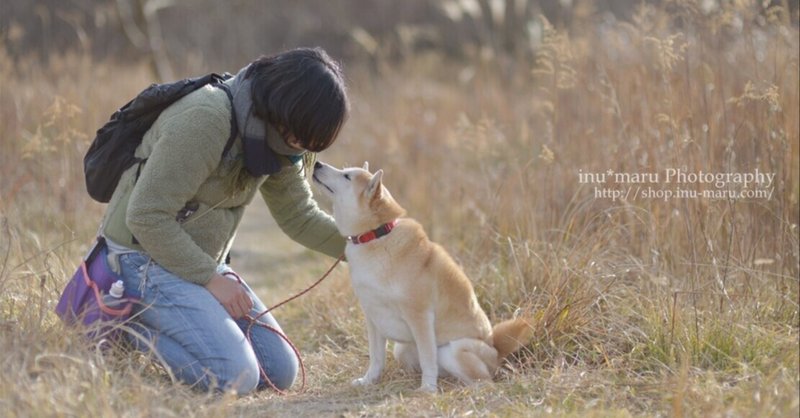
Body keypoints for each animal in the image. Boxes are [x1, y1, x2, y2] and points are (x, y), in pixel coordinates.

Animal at [310, 161, 532, 392]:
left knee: (481, 379)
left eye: (347, 176)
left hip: (454, 351)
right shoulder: (373, 316)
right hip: (402, 349)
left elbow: (427, 358)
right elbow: (376, 357)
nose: (317, 163)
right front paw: (369, 380)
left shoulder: (419, 315)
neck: (377, 237)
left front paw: (427, 389)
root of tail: (496, 351)